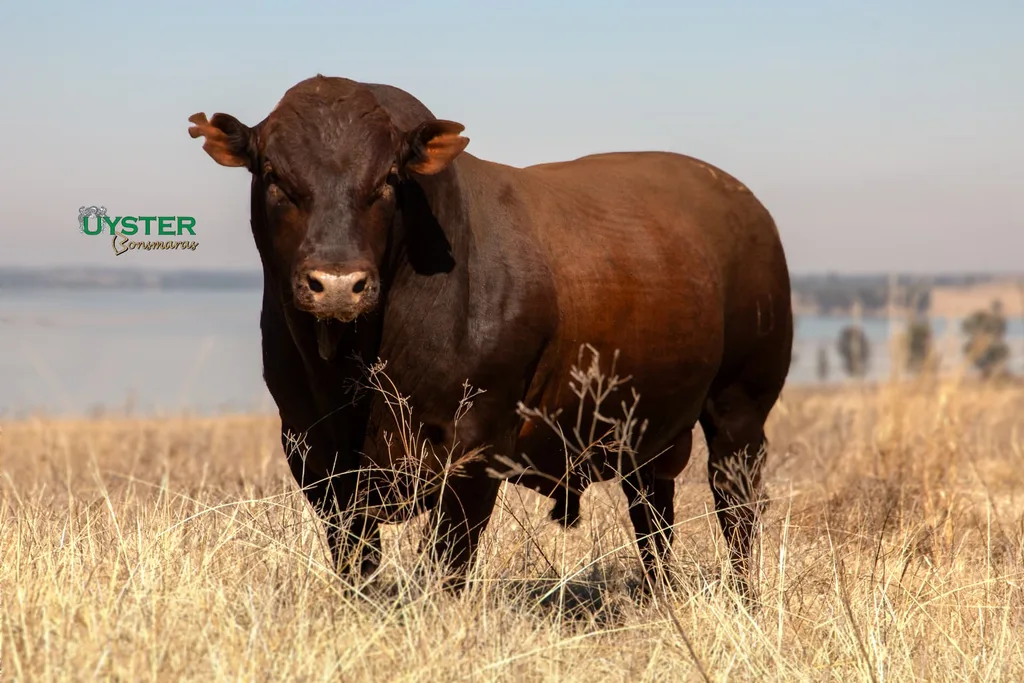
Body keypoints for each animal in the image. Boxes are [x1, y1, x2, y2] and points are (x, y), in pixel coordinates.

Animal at [187, 74, 793, 599]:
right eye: (274, 177)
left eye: (387, 180)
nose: (338, 284)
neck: (354, 373)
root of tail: (745, 201)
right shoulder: (312, 449)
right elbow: (357, 560)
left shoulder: (475, 447)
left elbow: (447, 563)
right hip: (648, 425)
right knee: (652, 509)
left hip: (742, 404)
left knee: (735, 506)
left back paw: (744, 599)